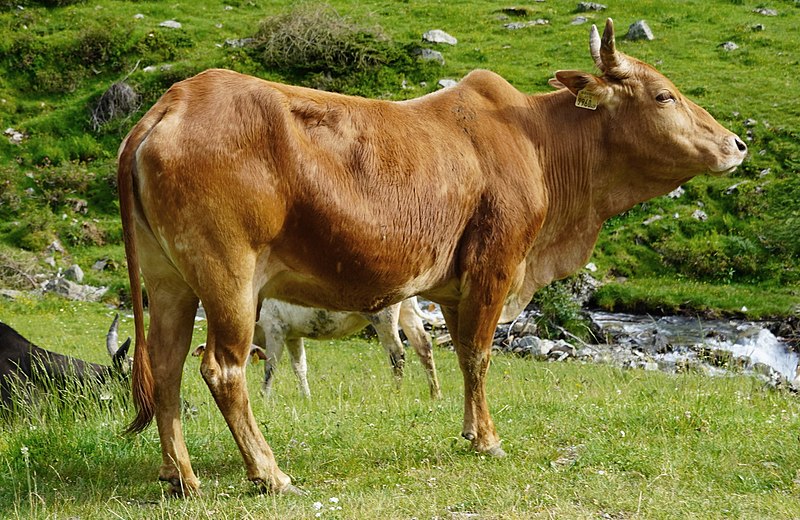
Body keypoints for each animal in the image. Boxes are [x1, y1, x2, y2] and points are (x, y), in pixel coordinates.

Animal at [115, 19, 748, 492]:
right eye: (664, 95)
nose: (737, 144)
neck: (539, 143)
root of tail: (170, 104)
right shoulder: (496, 263)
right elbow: (480, 354)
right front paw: (488, 439)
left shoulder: (452, 285)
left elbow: (462, 354)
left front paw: (469, 431)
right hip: (229, 277)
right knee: (221, 369)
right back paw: (268, 473)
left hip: (170, 281)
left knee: (166, 367)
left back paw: (181, 477)